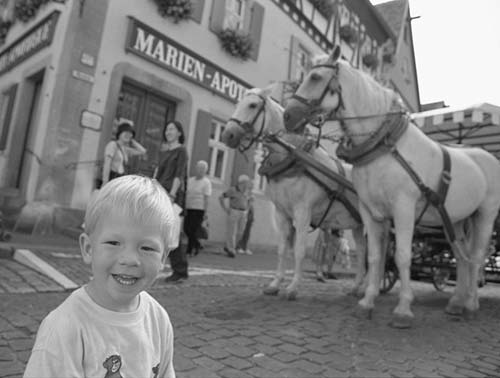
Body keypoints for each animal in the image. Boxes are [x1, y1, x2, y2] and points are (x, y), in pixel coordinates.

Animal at [222, 87, 368, 300]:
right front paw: (275, 284)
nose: (228, 135)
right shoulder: (281, 213)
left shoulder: (302, 213)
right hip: (358, 225)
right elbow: (282, 250)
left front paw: (292, 287)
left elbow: (299, 250)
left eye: (253, 105)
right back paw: (357, 287)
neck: (293, 157)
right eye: (237, 104)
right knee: (366, 253)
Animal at [284, 45, 500, 326]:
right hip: (456, 221)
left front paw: (403, 309)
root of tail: (488, 157)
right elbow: (375, 257)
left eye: (316, 77)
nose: (288, 116)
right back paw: (456, 303)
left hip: (485, 215)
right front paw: (366, 301)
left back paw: (472, 304)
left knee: (477, 257)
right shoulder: (370, 211)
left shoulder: (403, 209)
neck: (384, 146)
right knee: (462, 258)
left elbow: (402, 256)